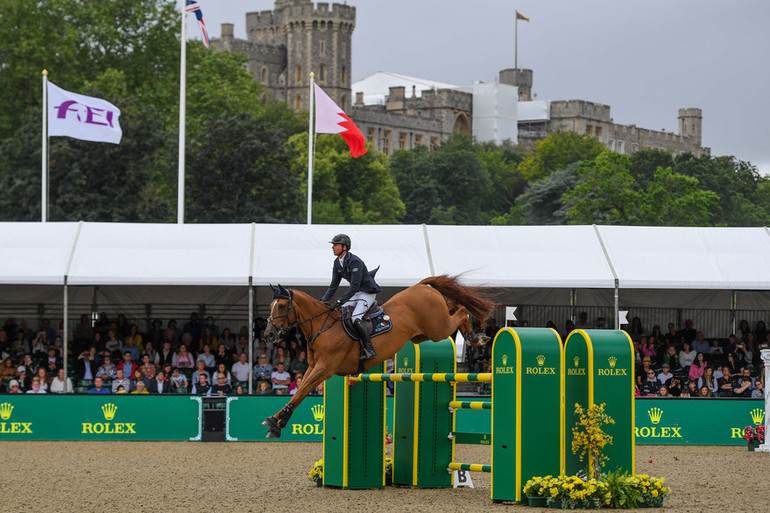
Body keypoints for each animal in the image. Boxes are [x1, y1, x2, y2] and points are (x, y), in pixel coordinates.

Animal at [260, 274, 496, 438]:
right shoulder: (313, 367)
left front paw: (274, 421)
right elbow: (300, 390)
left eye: (282, 306)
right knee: (456, 308)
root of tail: (422, 286)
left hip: (438, 328)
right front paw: (278, 422)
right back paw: (475, 336)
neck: (321, 326)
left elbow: (302, 392)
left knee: (461, 311)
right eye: (271, 305)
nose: (269, 334)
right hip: (425, 334)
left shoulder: (325, 368)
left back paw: (476, 337)